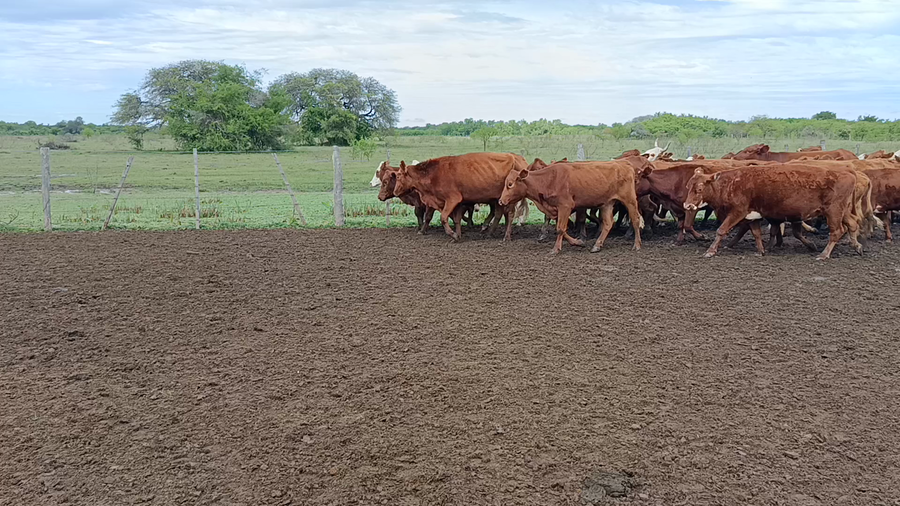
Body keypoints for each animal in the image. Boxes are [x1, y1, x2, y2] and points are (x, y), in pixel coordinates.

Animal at [393, 152, 528, 241]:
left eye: (398, 176)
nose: (395, 192)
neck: (433, 174)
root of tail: (515, 158)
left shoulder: (452, 200)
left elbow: (443, 218)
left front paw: (452, 234)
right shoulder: (457, 203)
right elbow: (457, 219)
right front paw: (458, 235)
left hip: (508, 198)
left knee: (509, 214)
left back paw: (506, 236)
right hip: (498, 199)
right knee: (499, 214)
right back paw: (489, 232)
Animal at [498, 157, 652, 254]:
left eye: (510, 184)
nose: (501, 201)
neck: (549, 179)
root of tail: (625, 164)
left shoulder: (565, 206)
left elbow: (560, 228)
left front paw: (555, 249)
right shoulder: (557, 209)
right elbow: (562, 228)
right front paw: (578, 242)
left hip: (629, 200)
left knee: (635, 220)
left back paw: (637, 245)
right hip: (607, 204)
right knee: (608, 223)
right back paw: (597, 245)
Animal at [683, 166, 862, 260]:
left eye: (699, 189)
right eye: (688, 186)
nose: (687, 205)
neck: (731, 184)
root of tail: (848, 173)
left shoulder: (738, 211)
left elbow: (721, 230)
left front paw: (710, 251)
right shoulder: (752, 215)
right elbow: (756, 233)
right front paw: (761, 250)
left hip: (834, 211)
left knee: (837, 231)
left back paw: (824, 254)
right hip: (843, 210)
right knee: (852, 224)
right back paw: (857, 246)